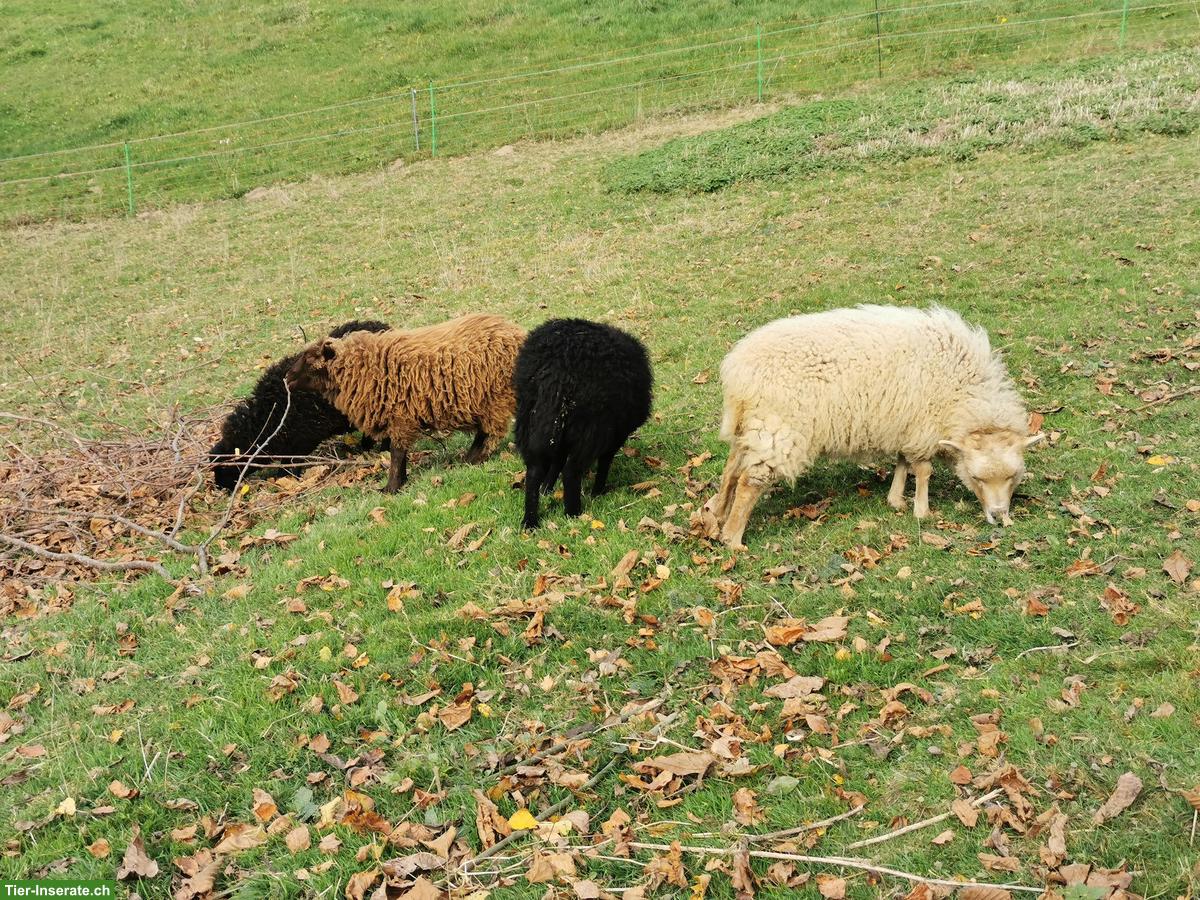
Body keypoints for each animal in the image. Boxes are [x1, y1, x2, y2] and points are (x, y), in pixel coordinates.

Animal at [209, 319, 391, 491]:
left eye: (223, 467)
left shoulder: (302, 439)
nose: (219, 487)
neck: (266, 419)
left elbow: (292, 462)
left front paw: (287, 478)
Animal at [284, 313, 526, 492]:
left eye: (309, 360)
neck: (363, 367)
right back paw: (468, 458)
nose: (287, 377)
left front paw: (391, 488)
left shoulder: (401, 417)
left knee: (491, 433)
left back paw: (474, 459)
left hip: (495, 399)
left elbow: (397, 453)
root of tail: (518, 334)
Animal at [514, 319, 652, 529]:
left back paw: (530, 522)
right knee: (571, 471)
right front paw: (598, 491)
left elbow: (557, 460)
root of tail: (556, 370)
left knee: (534, 471)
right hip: (591, 427)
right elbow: (605, 461)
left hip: (530, 417)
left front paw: (547, 487)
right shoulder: (615, 435)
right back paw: (573, 512)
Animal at [704, 304, 1043, 548]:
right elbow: (923, 470)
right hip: (780, 429)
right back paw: (733, 539)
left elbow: (903, 462)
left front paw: (896, 500)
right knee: (750, 481)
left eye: (1014, 476)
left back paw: (716, 516)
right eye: (976, 477)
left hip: (755, 425)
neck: (964, 392)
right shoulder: (923, 427)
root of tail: (737, 370)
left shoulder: (906, 426)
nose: (998, 516)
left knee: (731, 469)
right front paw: (922, 511)